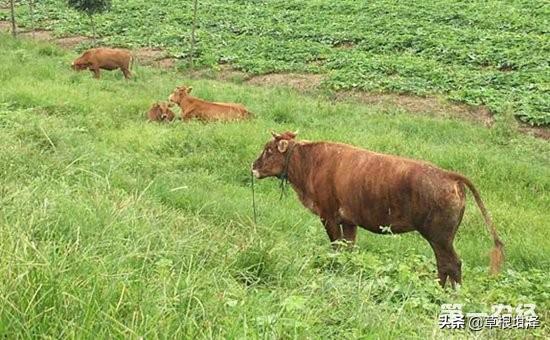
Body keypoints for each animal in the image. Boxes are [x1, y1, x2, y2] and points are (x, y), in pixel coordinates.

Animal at [253, 131, 504, 288]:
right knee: (446, 265)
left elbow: (336, 247)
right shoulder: (349, 222)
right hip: (442, 239)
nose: (253, 166)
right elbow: (348, 249)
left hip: (439, 238)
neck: (311, 162)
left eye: (268, 150)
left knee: (450, 264)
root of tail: (449, 175)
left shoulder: (329, 217)